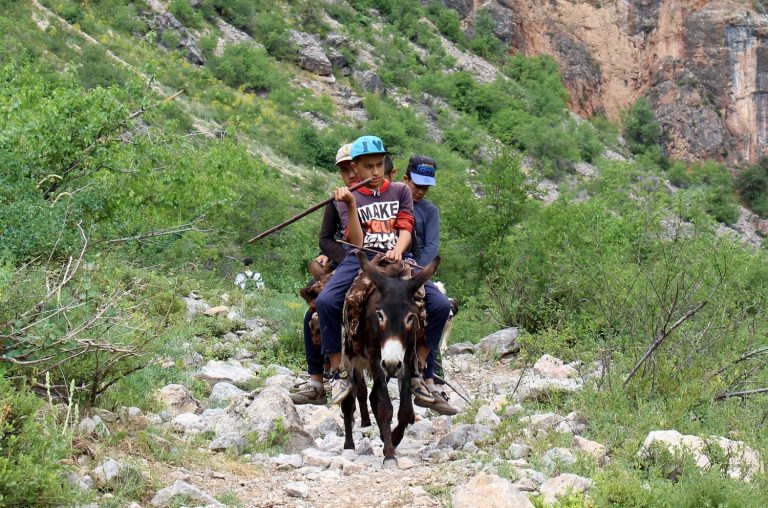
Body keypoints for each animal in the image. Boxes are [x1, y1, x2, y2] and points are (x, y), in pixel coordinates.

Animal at [340, 251, 439, 467]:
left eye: (410, 317)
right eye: (379, 314)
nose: (392, 363)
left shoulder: (408, 357)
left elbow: (405, 411)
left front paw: (393, 440)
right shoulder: (375, 358)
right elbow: (385, 407)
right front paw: (390, 455)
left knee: (372, 397)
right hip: (351, 360)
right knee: (349, 402)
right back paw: (349, 445)